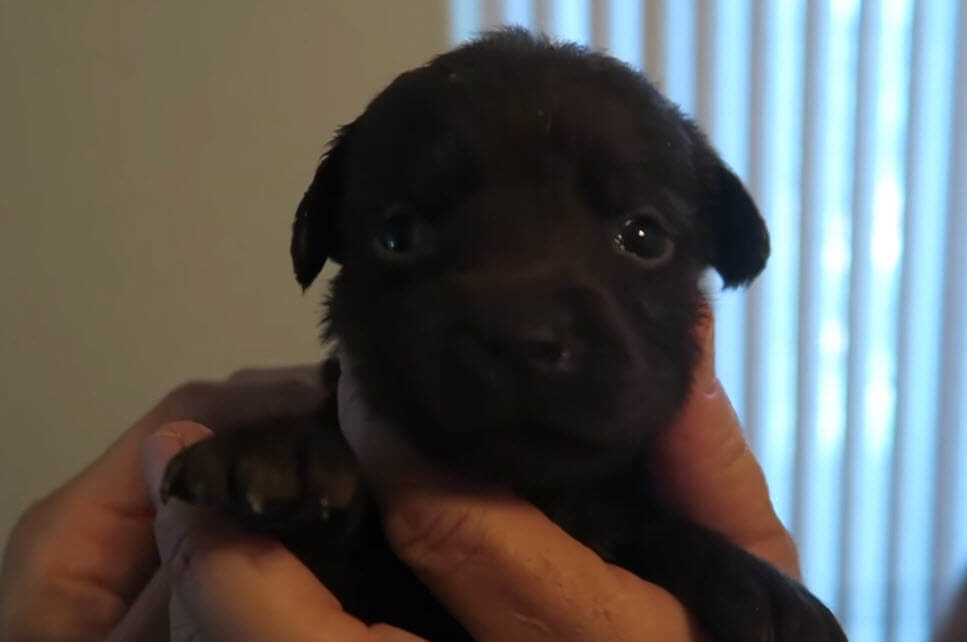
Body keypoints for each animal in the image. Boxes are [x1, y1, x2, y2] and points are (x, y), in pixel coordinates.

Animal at [164, 30, 848, 640]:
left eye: (643, 236)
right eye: (397, 236)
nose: (522, 338)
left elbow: (647, 524)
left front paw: (762, 585)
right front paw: (283, 453)